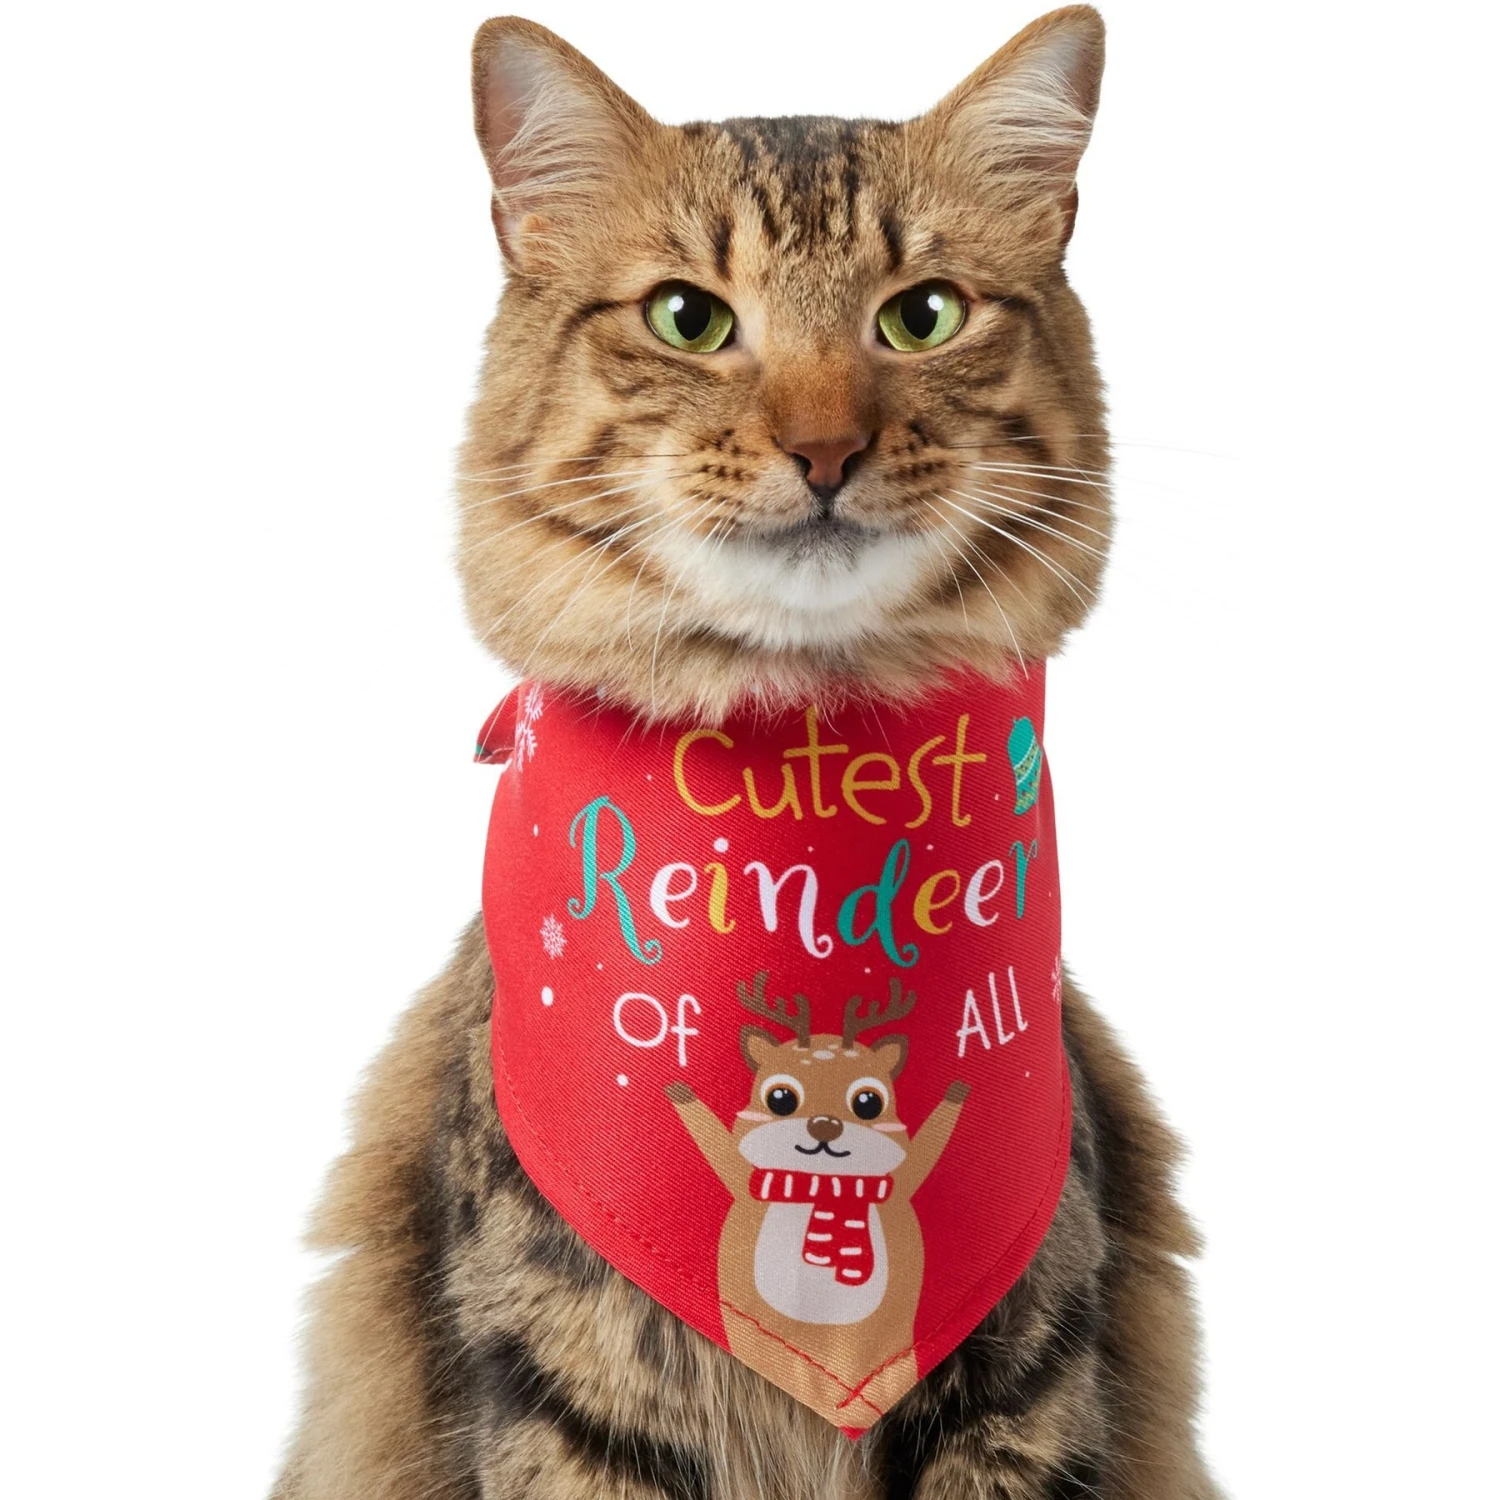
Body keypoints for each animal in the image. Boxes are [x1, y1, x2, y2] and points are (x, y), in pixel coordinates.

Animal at [665, 970, 969, 1428]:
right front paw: (681, 1092)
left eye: (868, 1102)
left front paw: (956, 1091)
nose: (825, 1125)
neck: (824, 1188)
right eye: (781, 1098)